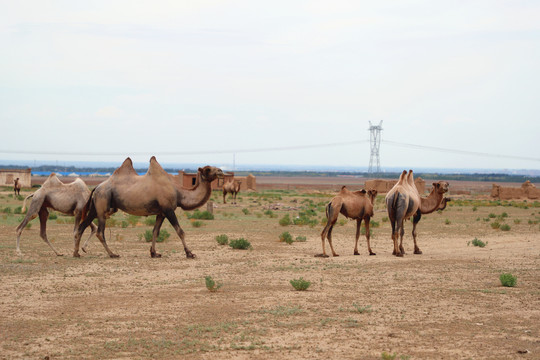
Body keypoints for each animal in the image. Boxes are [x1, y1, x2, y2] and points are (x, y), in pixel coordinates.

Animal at [74, 156, 221, 258]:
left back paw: (76, 253)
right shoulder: (168, 209)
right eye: (208, 169)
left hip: (95, 207)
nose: (220, 171)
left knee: (82, 227)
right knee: (100, 232)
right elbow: (180, 231)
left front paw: (154, 253)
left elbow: (155, 231)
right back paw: (112, 254)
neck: (178, 192)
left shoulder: (161, 212)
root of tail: (96, 187)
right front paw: (190, 253)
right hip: (102, 204)